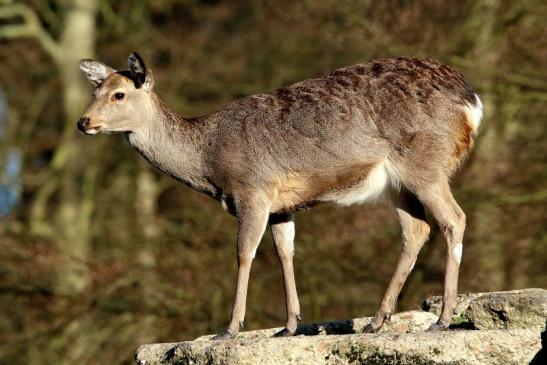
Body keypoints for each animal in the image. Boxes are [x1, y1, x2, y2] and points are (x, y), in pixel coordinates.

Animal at [78, 51, 484, 338]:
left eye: (119, 94)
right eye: (94, 91)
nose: (83, 122)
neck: (208, 160)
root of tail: (473, 102)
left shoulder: (252, 190)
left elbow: (244, 253)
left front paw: (230, 328)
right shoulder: (281, 206)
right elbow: (284, 252)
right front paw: (289, 325)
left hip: (425, 164)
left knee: (454, 219)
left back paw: (443, 318)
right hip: (397, 184)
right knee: (416, 230)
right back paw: (376, 320)